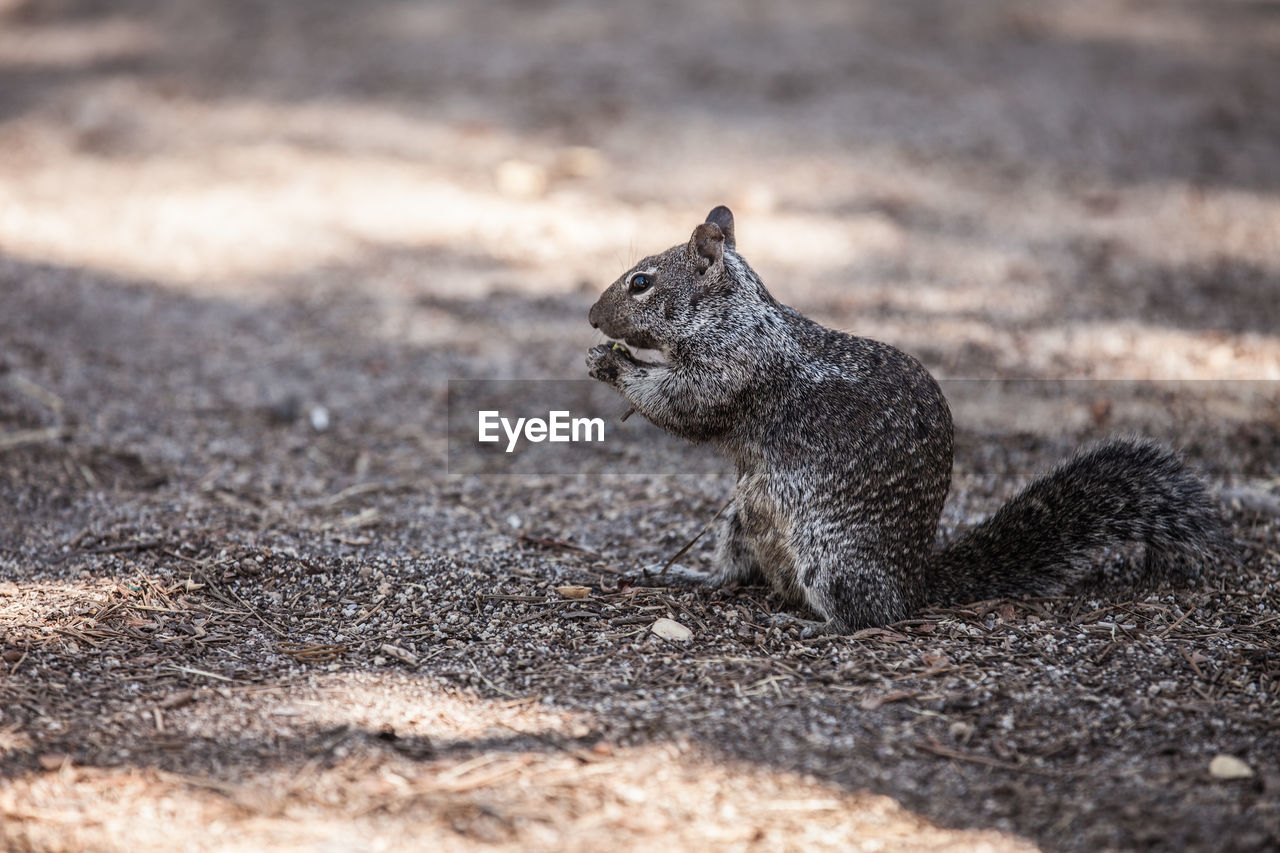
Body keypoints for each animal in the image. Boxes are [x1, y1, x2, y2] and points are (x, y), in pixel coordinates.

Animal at [586, 204, 1228, 630]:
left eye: (641, 282)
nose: (592, 317)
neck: (734, 314)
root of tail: (915, 583)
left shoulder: (735, 367)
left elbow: (686, 404)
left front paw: (615, 365)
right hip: (744, 517)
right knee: (737, 575)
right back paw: (683, 575)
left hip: (833, 558)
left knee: (868, 616)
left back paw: (810, 624)